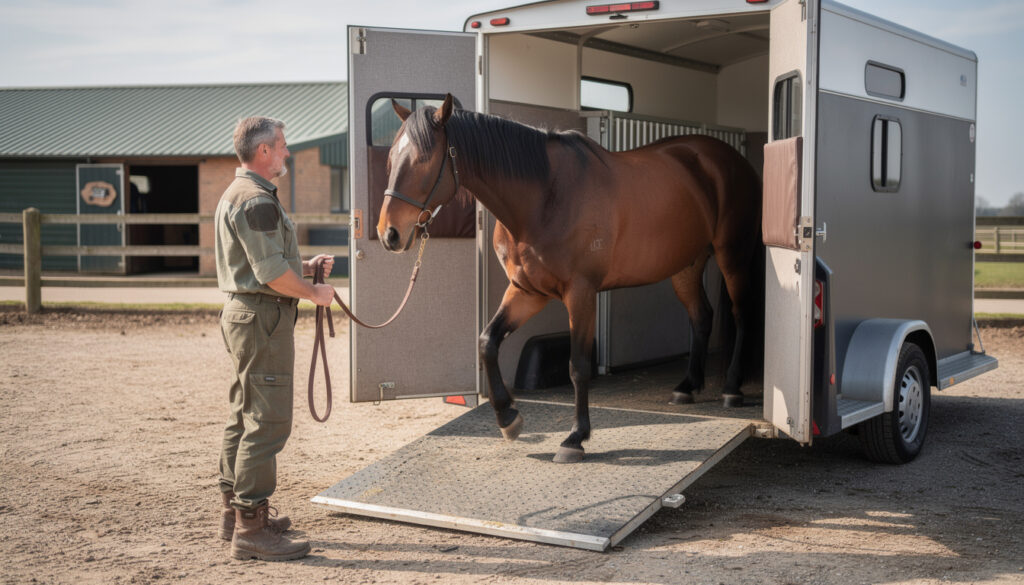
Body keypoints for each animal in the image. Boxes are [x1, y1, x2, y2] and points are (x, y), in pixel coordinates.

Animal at [377, 94, 762, 463]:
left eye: (423, 161)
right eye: (391, 158)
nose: (389, 234)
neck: (545, 197)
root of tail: (729, 158)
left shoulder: (581, 292)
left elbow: (577, 366)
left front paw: (575, 438)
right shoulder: (526, 291)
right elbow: (487, 342)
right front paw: (508, 418)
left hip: (732, 253)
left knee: (742, 314)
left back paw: (731, 389)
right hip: (686, 264)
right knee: (701, 315)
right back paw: (687, 386)